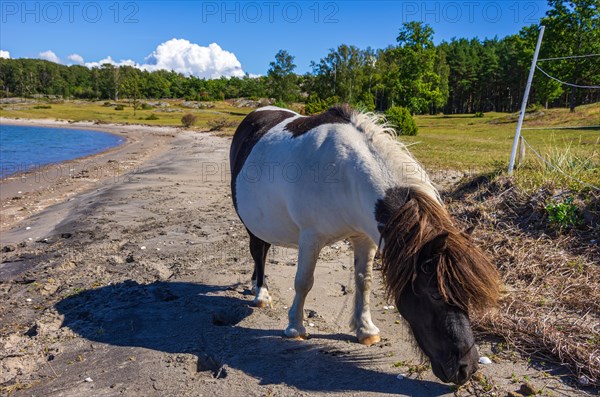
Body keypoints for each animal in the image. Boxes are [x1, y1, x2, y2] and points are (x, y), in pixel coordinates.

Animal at [227, 104, 500, 384]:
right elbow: (303, 283)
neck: (344, 175)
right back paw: (261, 293)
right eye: (435, 294)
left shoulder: (365, 238)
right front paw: (295, 327)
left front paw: (365, 329)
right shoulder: (310, 238)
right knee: (259, 251)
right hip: (252, 223)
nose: (467, 368)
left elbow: (364, 282)